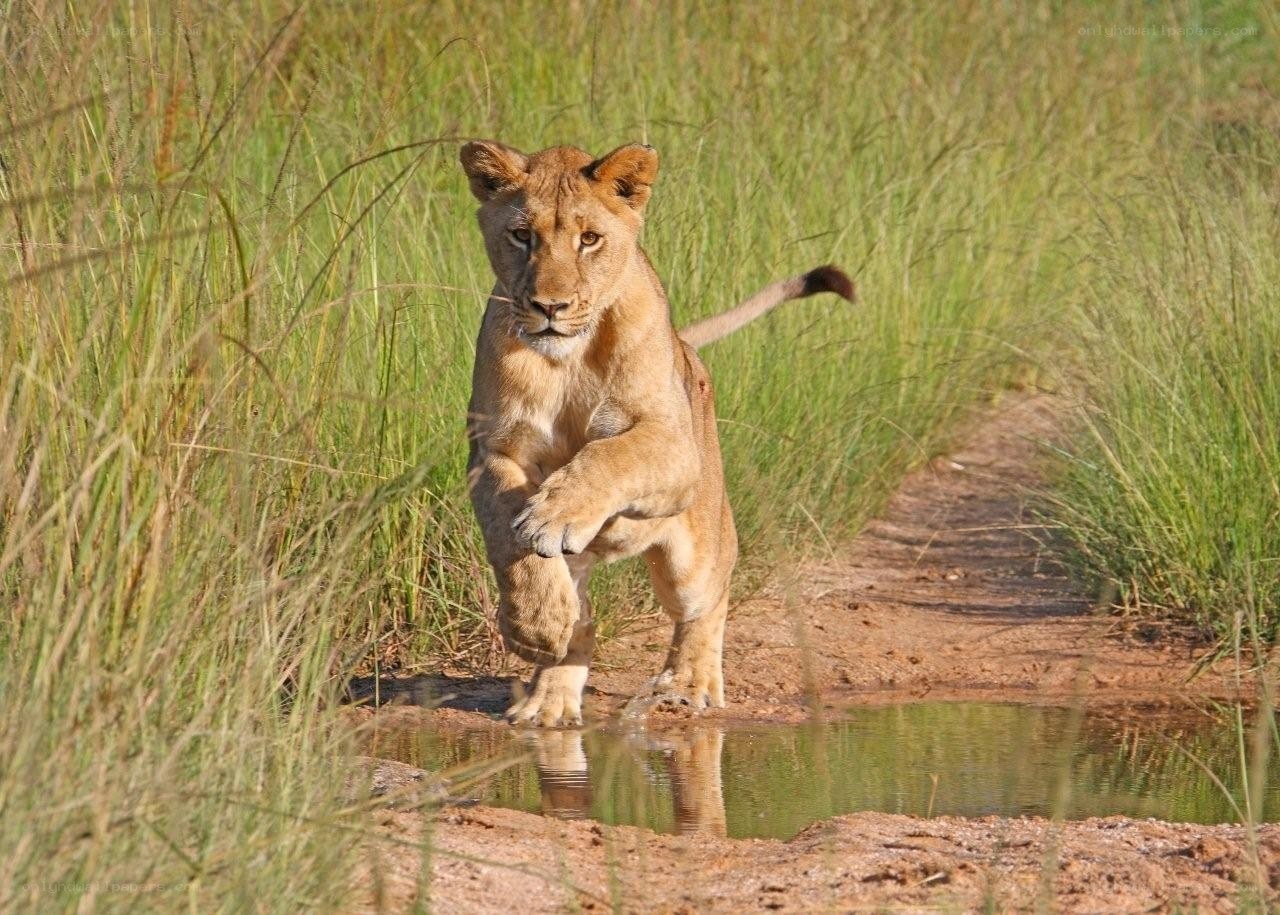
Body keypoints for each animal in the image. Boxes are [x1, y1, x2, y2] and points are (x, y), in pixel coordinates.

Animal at [460, 140, 853, 727]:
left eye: (589, 239)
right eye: (521, 235)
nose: (549, 307)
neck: (567, 358)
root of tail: (686, 346)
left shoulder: (672, 443)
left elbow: (609, 456)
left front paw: (557, 515)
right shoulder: (495, 451)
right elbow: (510, 533)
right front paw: (535, 623)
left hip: (696, 550)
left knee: (707, 599)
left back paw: (688, 684)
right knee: (584, 623)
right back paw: (549, 697)